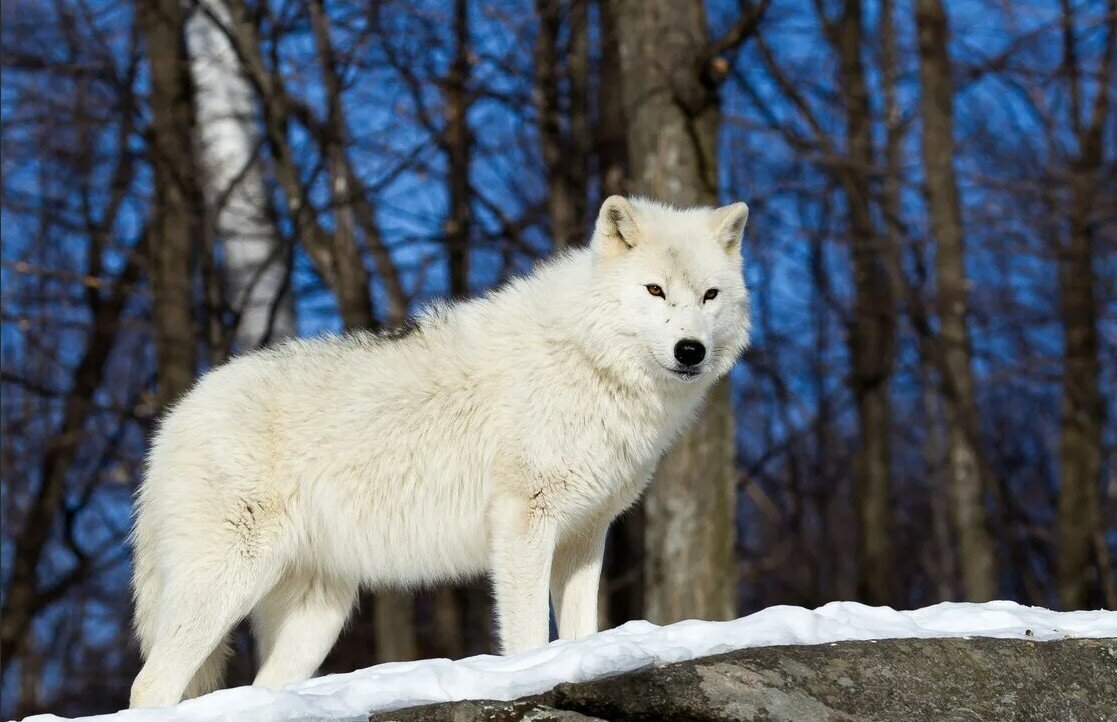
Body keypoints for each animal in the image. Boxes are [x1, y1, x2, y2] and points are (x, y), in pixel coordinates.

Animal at [130, 196, 750, 706]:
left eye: (710, 295)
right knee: (149, 685)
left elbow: (581, 630)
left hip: (318, 616)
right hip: (226, 584)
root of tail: (172, 420)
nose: (690, 350)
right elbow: (529, 633)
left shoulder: (585, 534)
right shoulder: (524, 520)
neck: (589, 360)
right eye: (655, 291)